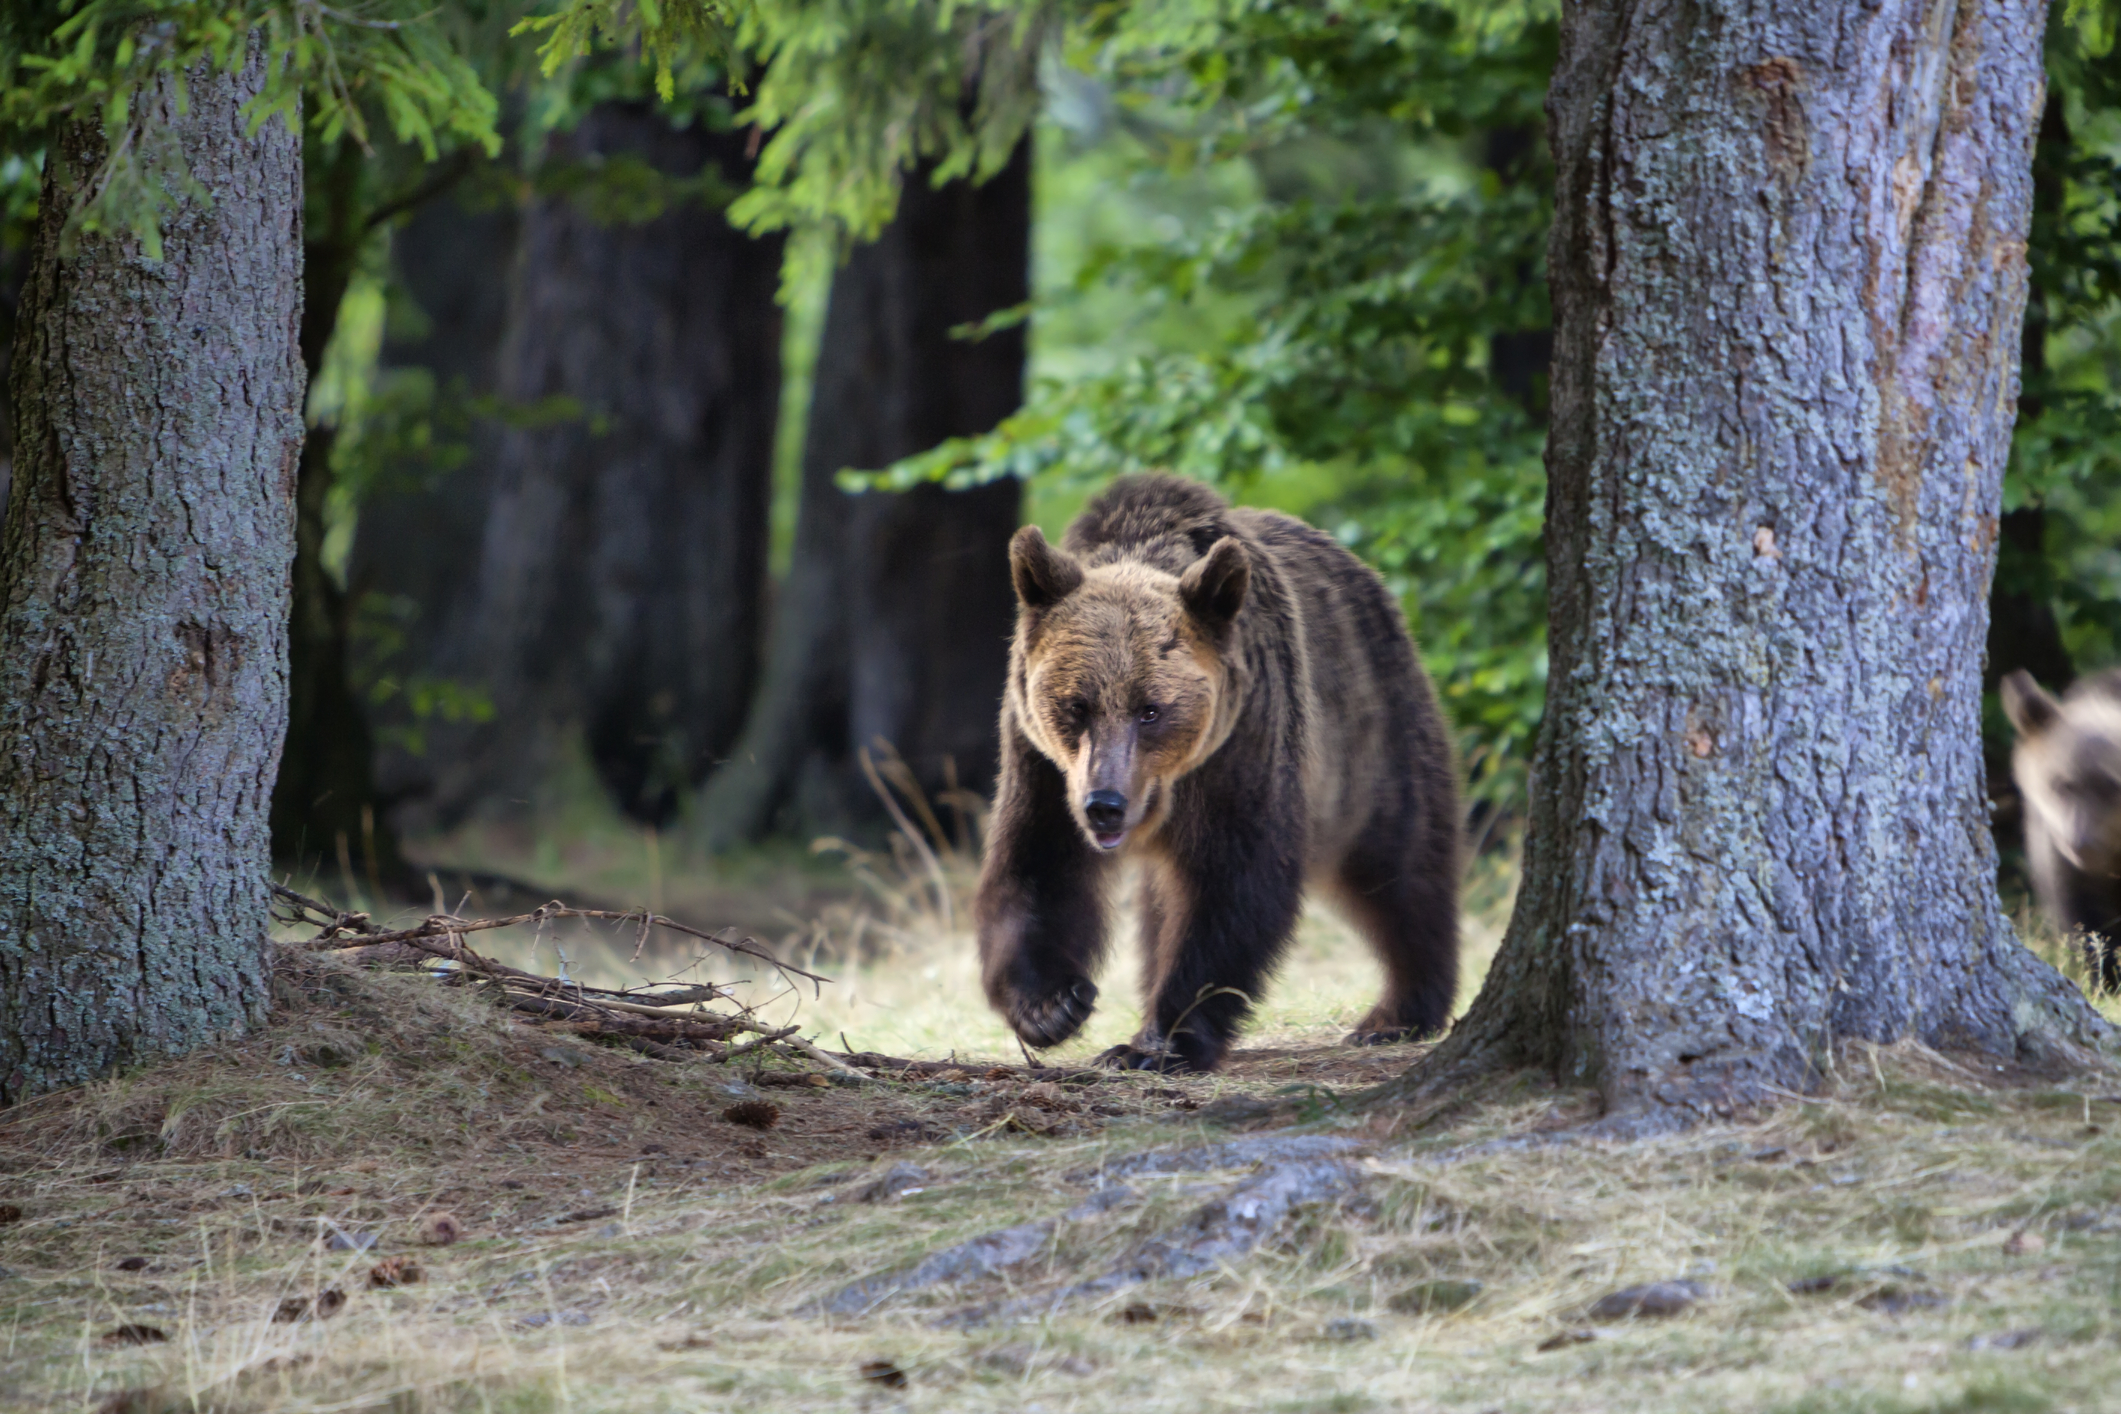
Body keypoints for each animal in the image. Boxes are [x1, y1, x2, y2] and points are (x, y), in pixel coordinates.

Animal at [971, 474, 1459, 1072]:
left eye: (1150, 709)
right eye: (1076, 705)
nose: (1105, 805)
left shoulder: (1244, 742)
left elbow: (1231, 884)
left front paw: (1158, 1042)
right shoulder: (1040, 762)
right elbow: (1038, 863)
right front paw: (1053, 1005)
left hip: (1371, 739)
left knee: (1399, 865)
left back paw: (1398, 1012)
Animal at [2002, 665, 2121, 992]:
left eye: (2112, 785)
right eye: (2061, 784)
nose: (2082, 842)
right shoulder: (2063, 866)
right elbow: (2086, 927)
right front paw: (2103, 981)